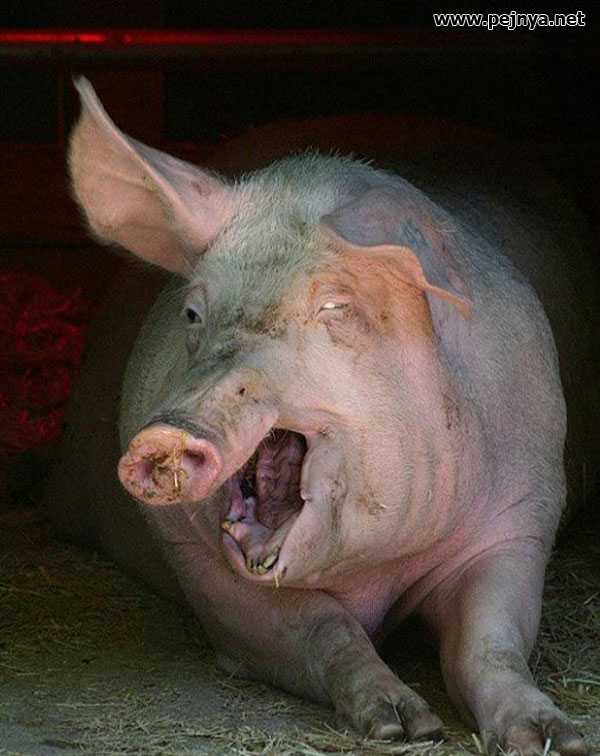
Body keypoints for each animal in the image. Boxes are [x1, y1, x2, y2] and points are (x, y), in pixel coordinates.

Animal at [48, 77, 599, 755]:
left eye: (335, 307)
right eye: (194, 313)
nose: (168, 432)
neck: (375, 571)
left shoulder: (520, 515)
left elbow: (488, 642)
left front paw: (550, 738)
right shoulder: (191, 555)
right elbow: (324, 629)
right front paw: (402, 725)